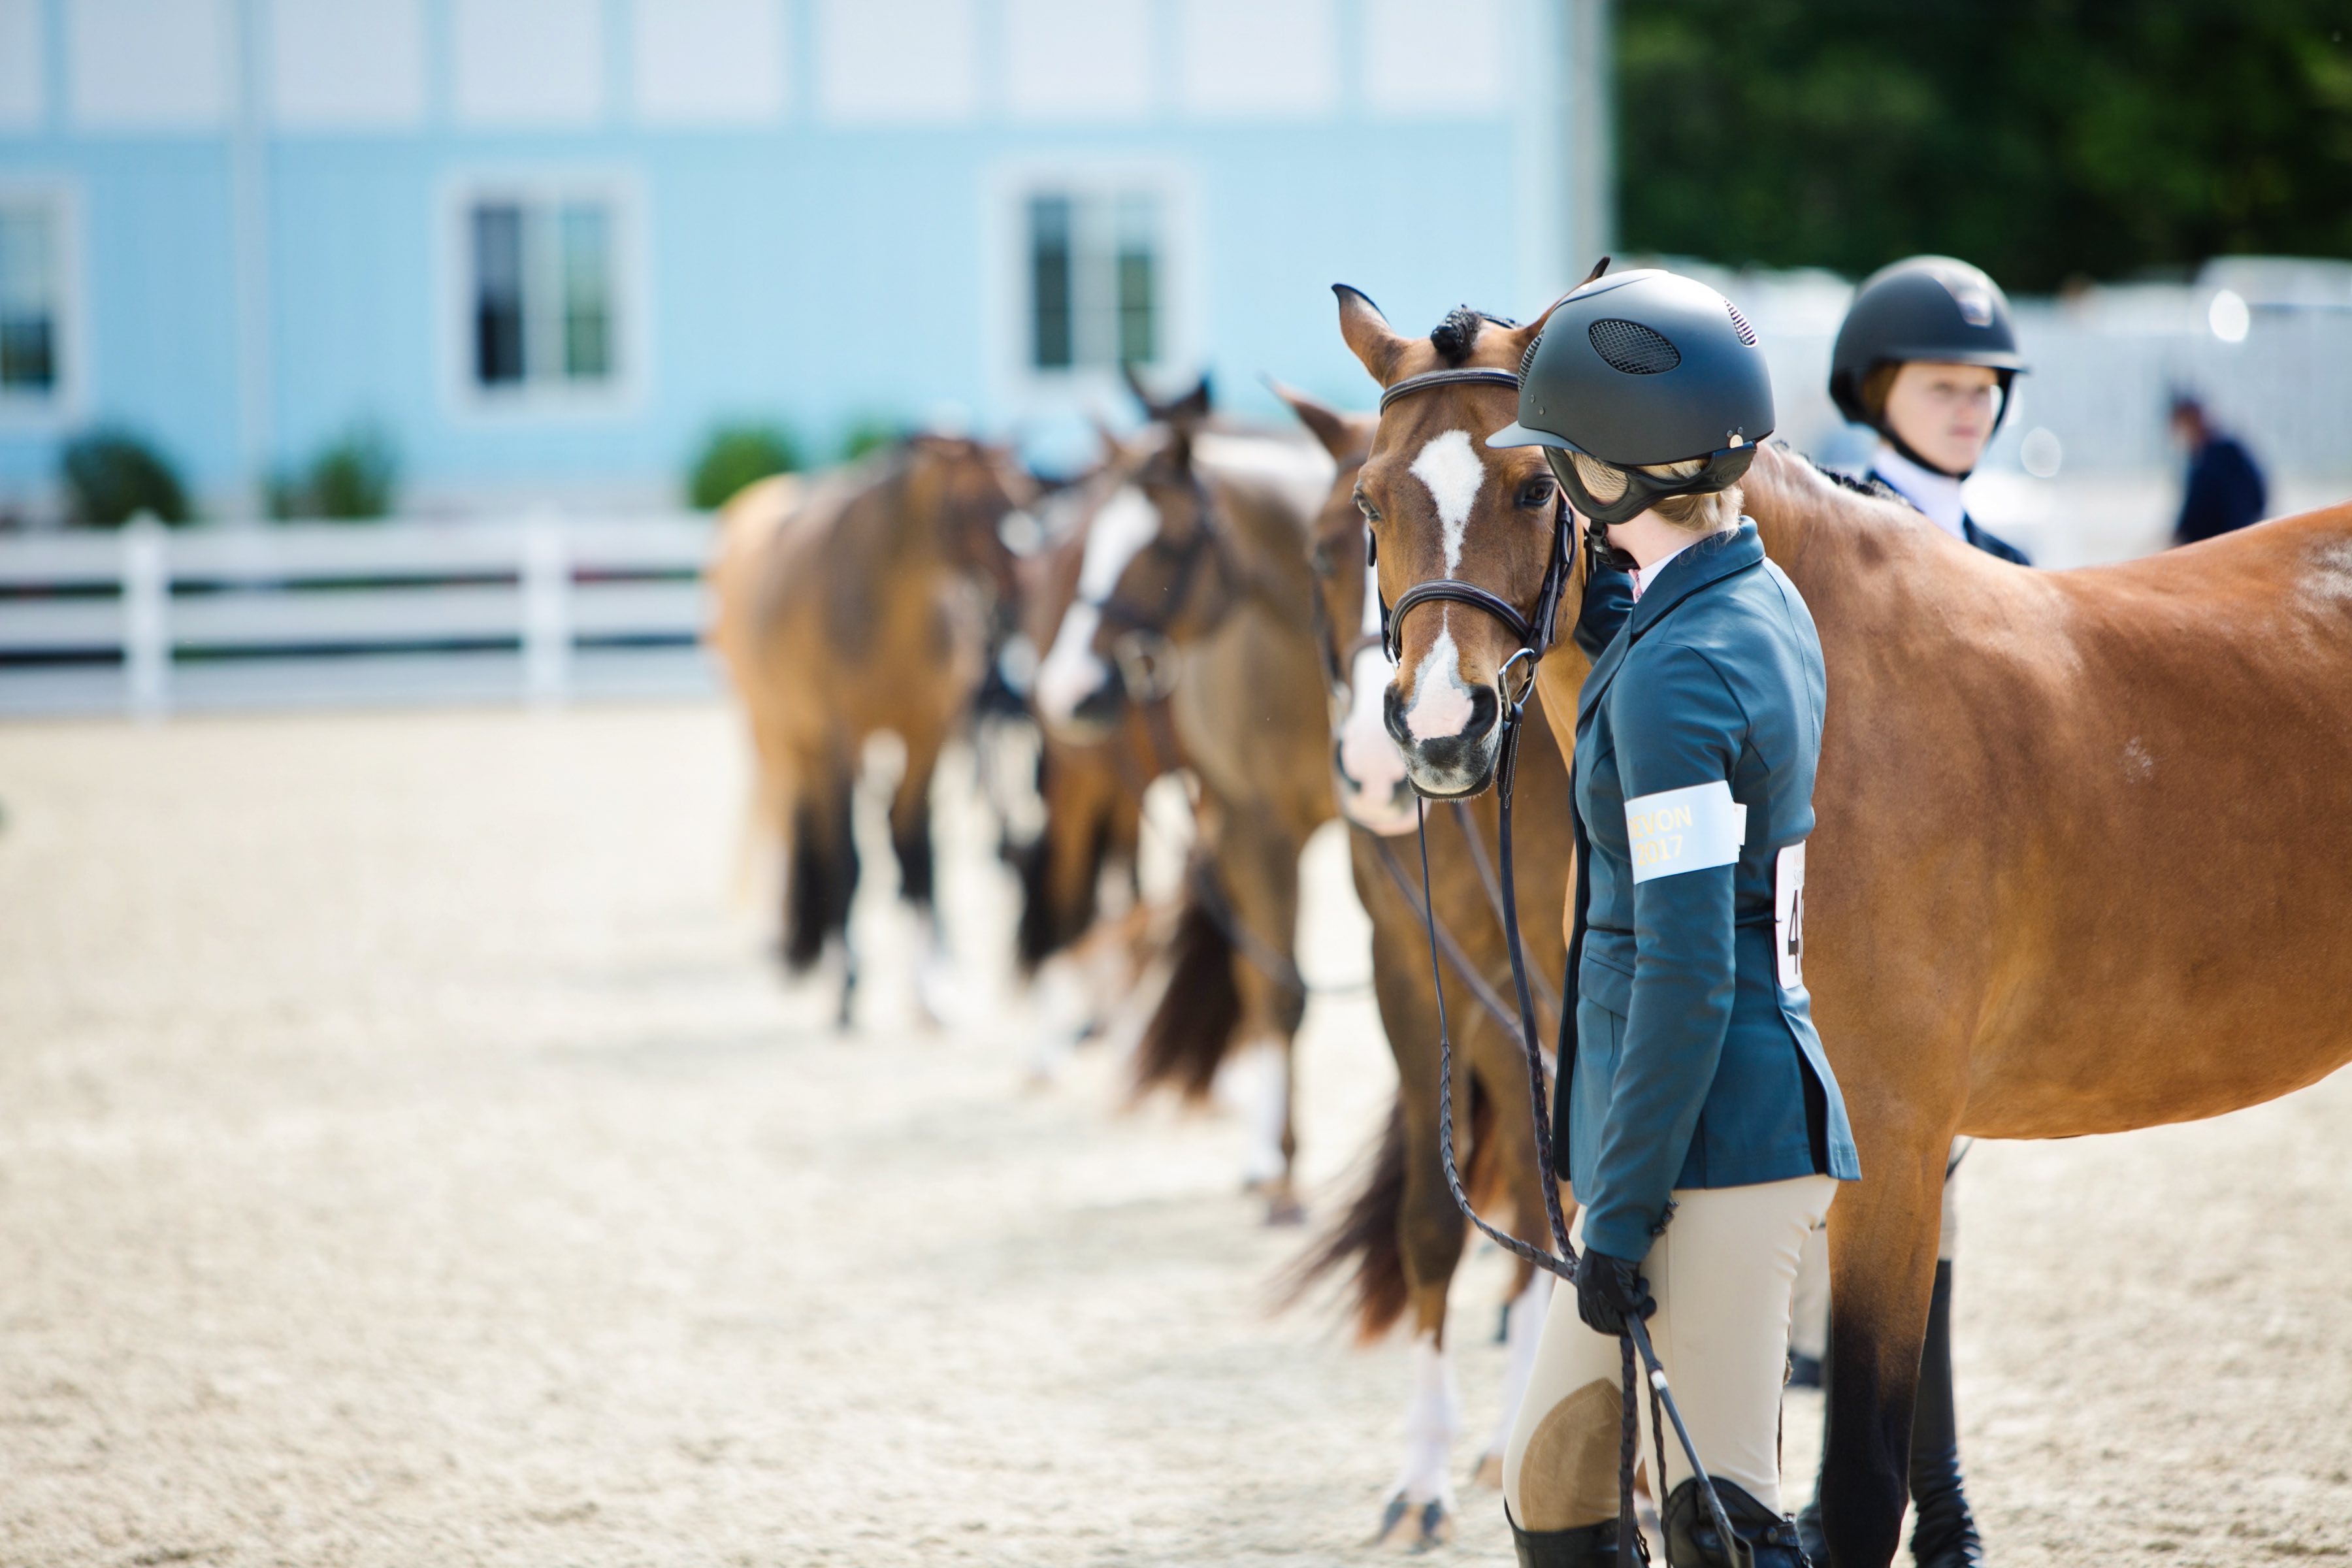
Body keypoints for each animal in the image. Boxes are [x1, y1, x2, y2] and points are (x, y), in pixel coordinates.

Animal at [700, 442, 1025, 1030]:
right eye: (964, 509)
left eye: (1024, 494)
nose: (1030, 578)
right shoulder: (840, 740)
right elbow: (848, 858)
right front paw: (849, 986)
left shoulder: (928, 738)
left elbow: (917, 854)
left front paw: (929, 989)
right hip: (779, 731)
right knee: (795, 823)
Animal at [1270, 385, 1580, 1551]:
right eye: (1324, 546)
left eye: (1534, 497)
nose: (1379, 761)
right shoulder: (1413, 973)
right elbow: (1437, 1223)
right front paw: (1423, 1477)